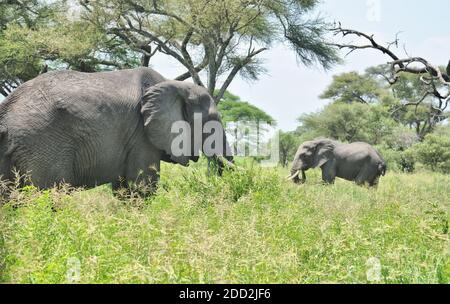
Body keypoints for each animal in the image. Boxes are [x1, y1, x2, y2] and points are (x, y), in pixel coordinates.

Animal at [0, 67, 232, 194]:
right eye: (212, 121)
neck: (175, 85)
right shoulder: (141, 135)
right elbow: (141, 188)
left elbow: (124, 189)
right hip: (42, 144)